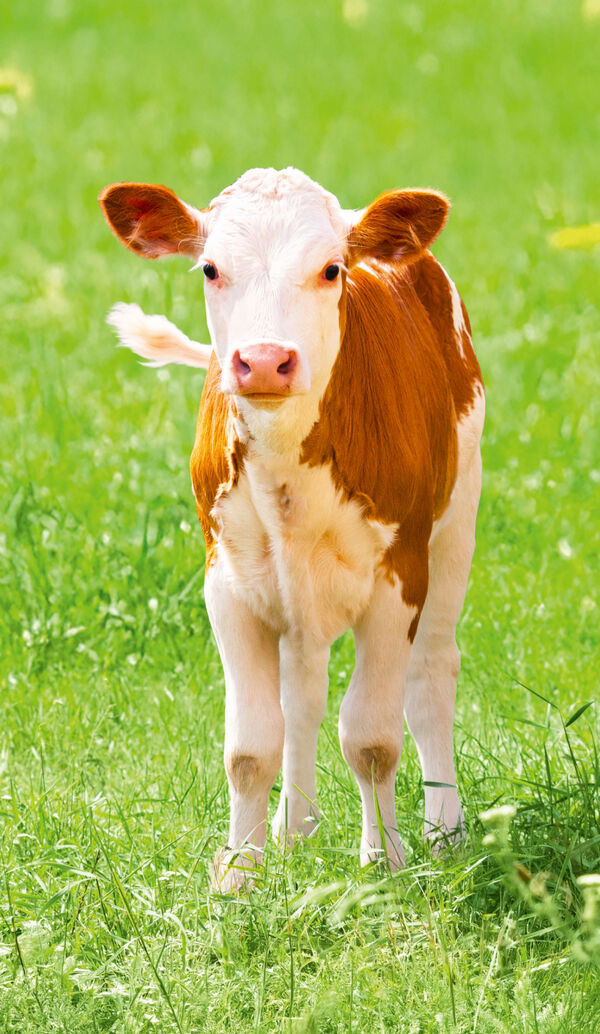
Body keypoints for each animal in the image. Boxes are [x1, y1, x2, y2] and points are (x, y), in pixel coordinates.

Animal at [99, 167, 484, 892]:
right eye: (210, 268)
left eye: (331, 269)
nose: (264, 360)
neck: (286, 464)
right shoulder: (226, 583)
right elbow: (251, 747)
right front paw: (238, 875)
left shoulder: (397, 580)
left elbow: (371, 738)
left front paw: (383, 862)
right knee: (303, 688)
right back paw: (294, 829)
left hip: (456, 524)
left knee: (430, 675)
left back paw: (444, 832)